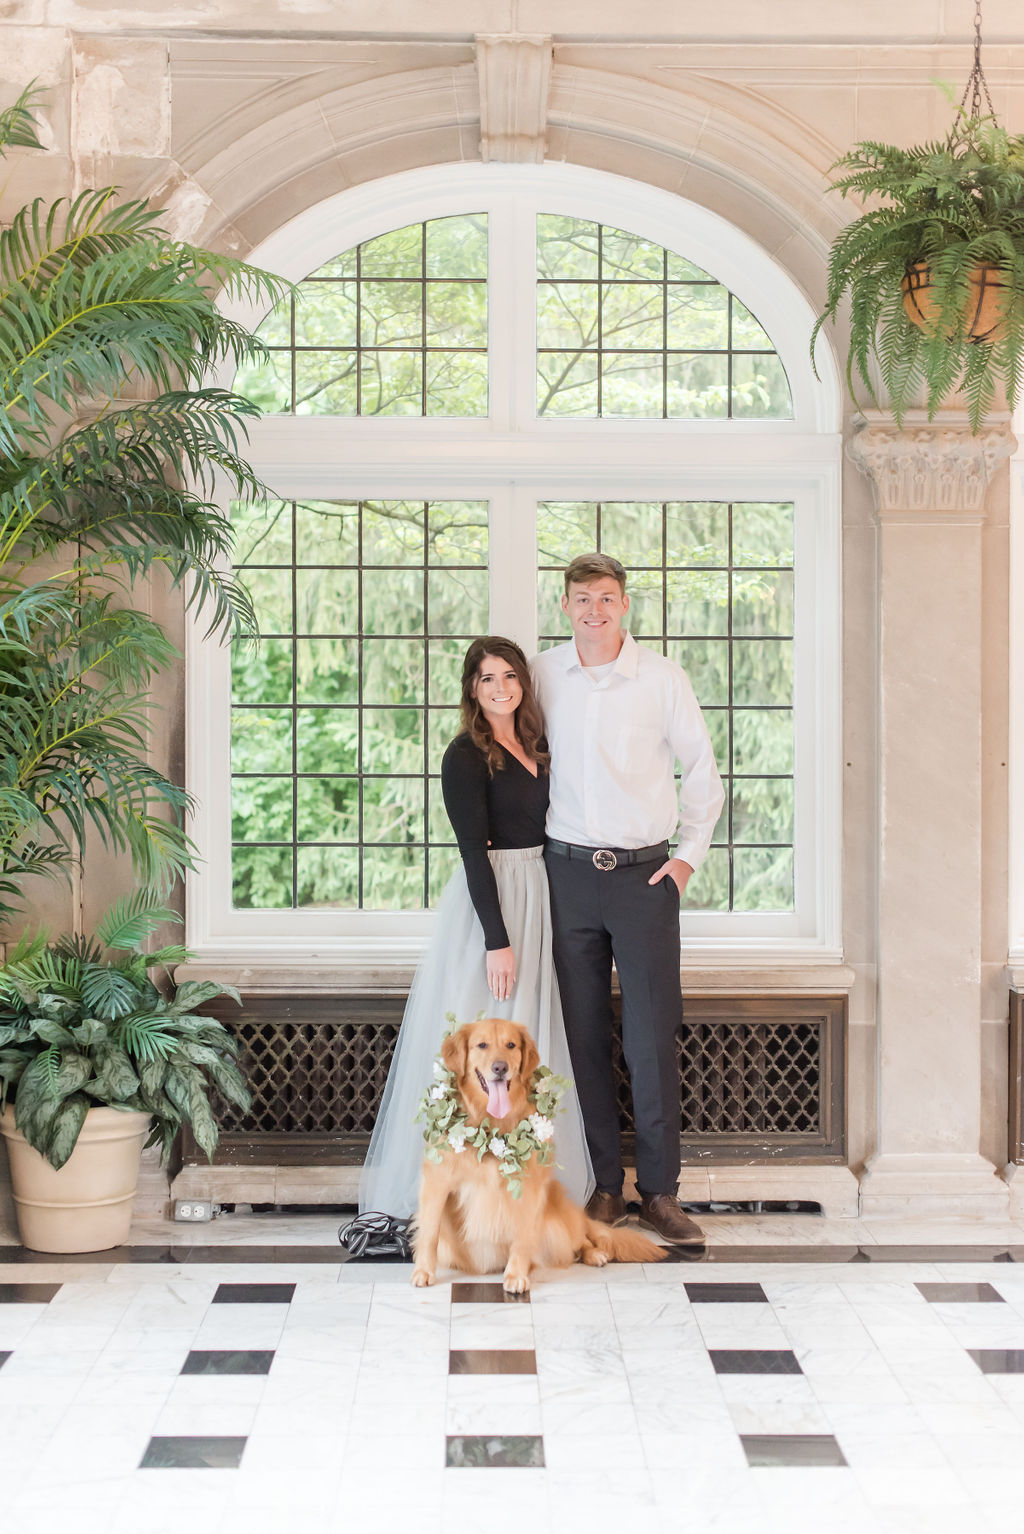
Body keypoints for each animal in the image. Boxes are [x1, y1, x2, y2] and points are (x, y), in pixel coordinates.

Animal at [410, 1018, 668, 1294]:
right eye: (482, 1045)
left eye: (511, 1045)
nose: (500, 1067)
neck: (491, 1125)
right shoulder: (437, 1183)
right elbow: (430, 1233)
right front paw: (423, 1271)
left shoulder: (529, 1188)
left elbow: (522, 1236)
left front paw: (516, 1275)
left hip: (556, 1217)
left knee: (579, 1239)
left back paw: (594, 1254)